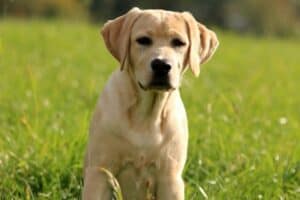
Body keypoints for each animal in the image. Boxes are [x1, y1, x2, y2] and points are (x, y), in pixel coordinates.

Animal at [83, 7, 219, 199]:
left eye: (179, 43)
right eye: (143, 40)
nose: (162, 65)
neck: (147, 113)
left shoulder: (170, 178)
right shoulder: (100, 170)